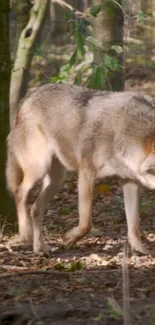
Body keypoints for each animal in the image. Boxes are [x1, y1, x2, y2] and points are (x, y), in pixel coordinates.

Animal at [5, 83, 155, 253]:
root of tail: (28, 98)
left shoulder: (130, 182)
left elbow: (134, 225)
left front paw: (141, 251)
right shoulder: (86, 174)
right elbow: (86, 223)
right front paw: (69, 238)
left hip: (56, 181)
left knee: (35, 209)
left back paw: (40, 248)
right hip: (38, 169)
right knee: (19, 193)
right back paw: (25, 234)